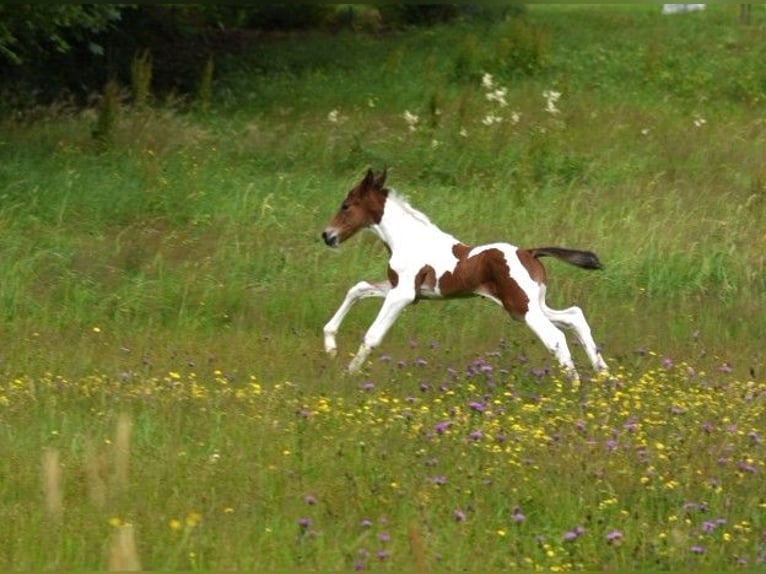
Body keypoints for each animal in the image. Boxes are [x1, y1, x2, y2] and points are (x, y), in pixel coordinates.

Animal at [320, 169, 608, 380]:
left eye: (346, 206)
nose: (327, 235)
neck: (408, 239)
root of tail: (529, 252)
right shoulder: (401, 289)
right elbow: (357, 288)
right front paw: (330, 346)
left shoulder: (402, 295)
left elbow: (372, 335)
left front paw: (348, 373)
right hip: (528, 305)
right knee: (574, 317)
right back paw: (603, 375)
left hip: (523, 307)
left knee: (557, 337)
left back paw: (574, 385)